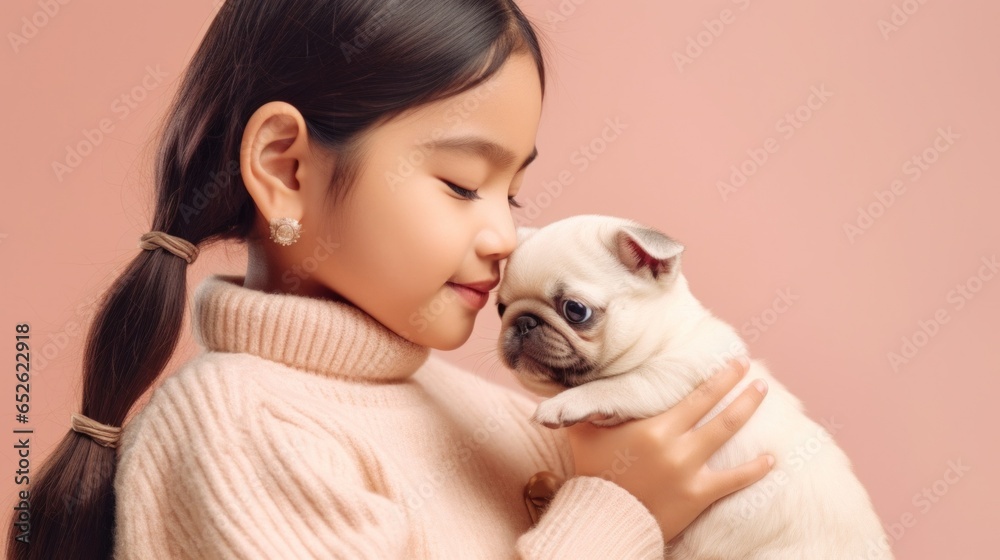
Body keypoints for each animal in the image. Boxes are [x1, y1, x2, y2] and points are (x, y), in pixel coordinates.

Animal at [496, 214, 896, 560]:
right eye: (500, 308)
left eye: (575, 310)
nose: (523, 322)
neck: (665, 337)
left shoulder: (668, 376)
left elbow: (616, 386)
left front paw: (565, 403)